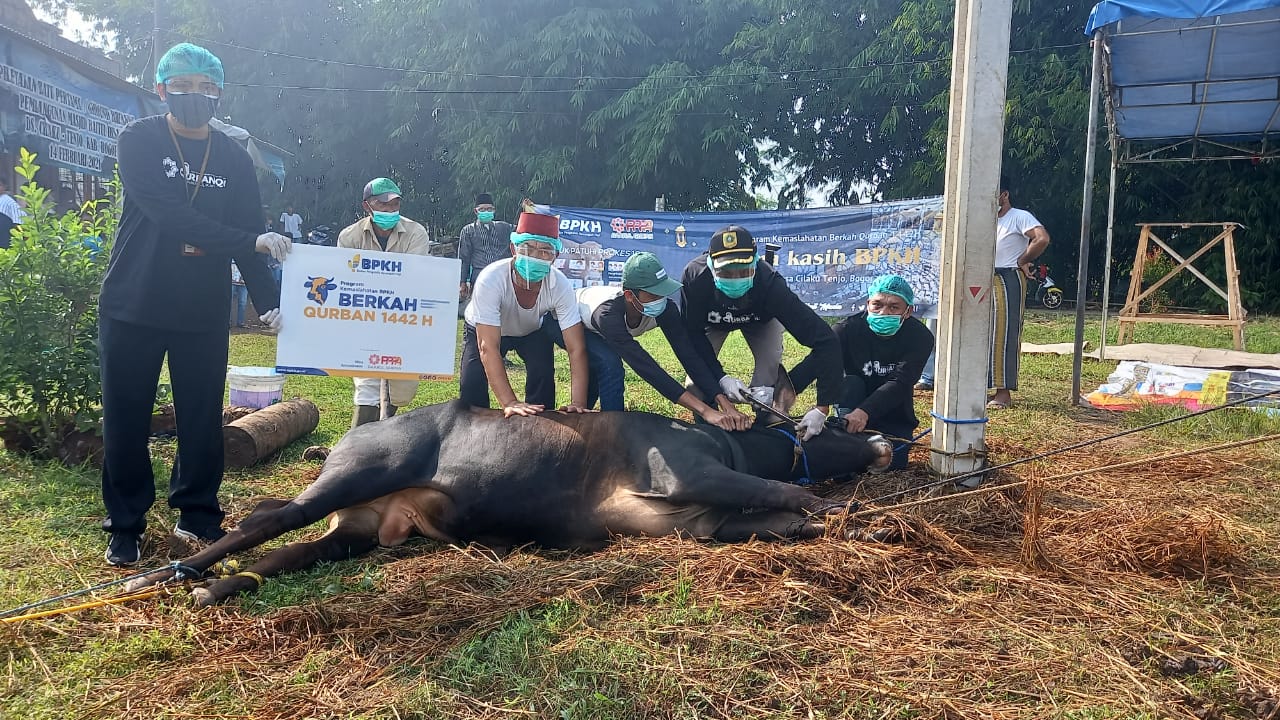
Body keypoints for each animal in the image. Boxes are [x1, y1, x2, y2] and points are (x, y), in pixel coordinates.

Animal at [129, 397, 890, 604]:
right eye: (835, 423)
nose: (882, 440)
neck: (728, 443)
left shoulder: (697, 518)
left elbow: (774, 519)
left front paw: (846, 527)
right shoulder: (686, 476)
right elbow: (779, 488)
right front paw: (836, 512)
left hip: (355, 529)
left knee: (289, 549)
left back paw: (217, 588)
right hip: (354, 477)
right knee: (269, 517)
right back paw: (166, 574)